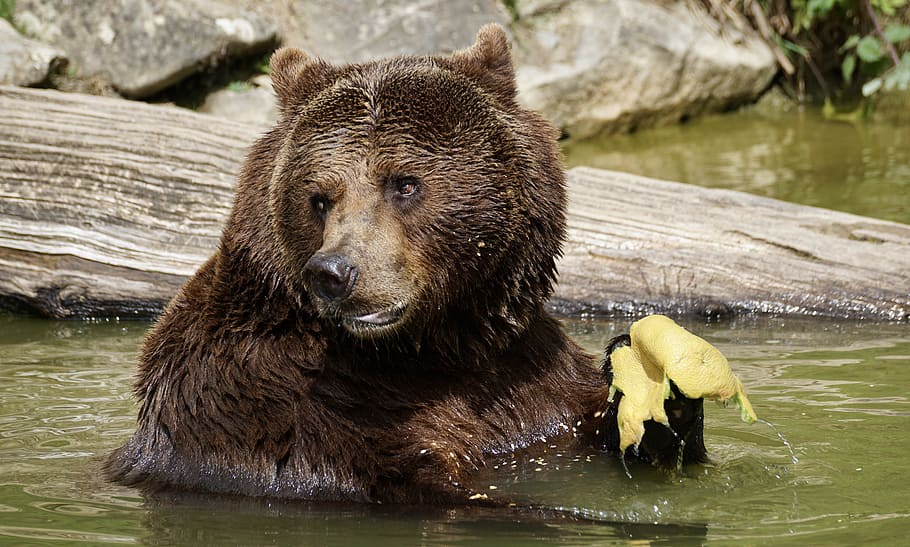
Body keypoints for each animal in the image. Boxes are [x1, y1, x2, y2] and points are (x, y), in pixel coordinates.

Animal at [105, 24, 704, 506]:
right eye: (319, 196)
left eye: (404, 183)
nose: (334, 273)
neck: (433, 348)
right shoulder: (268, 405)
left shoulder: (528, 375)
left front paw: (661, 393)